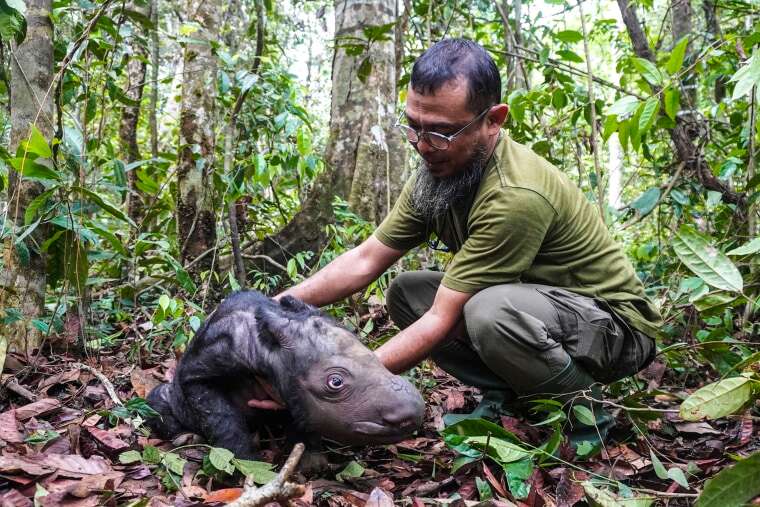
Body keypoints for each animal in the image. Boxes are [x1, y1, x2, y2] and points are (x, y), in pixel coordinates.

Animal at [146, 291, 425, 458]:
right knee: (157, 398)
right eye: (335, 382)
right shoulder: (203, 367)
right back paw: (184, 437)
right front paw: (247, 463)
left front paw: (311, 463)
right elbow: (219, 415)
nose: (412, 414)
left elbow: (300, 417)